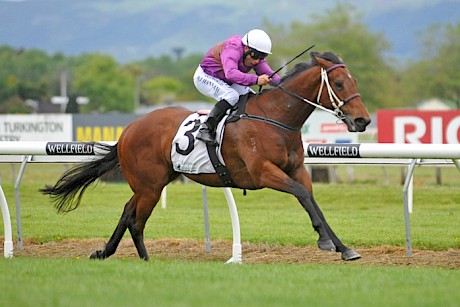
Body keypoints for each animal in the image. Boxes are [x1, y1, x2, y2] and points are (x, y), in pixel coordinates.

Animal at [38, 51, 370, 262]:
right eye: (339, 84)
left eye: (355, 82)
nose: (363, 121)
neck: (274, 118)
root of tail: (129, 129)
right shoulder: (263, 172)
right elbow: (301, 194)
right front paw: (326, 242)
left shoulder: (297, 169)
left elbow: (311, 200)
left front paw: (343, 247)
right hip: (150, 186)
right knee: (136, 219)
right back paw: (145, 260)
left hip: (151, 183)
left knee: (127, 211)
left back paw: (106, 252)